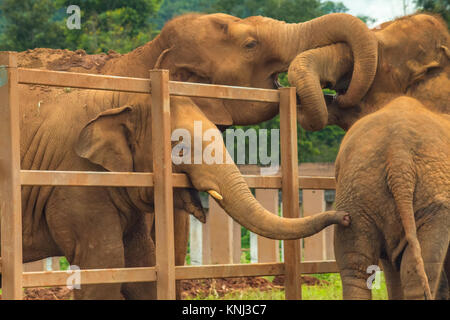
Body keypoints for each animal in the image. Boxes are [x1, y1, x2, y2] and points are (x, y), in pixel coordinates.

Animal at [3, 11, 384, 298]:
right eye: (250, 45)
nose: (338, 93)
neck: (146, 58)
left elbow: (149, 259)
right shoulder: (80, 180)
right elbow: (109, 264)